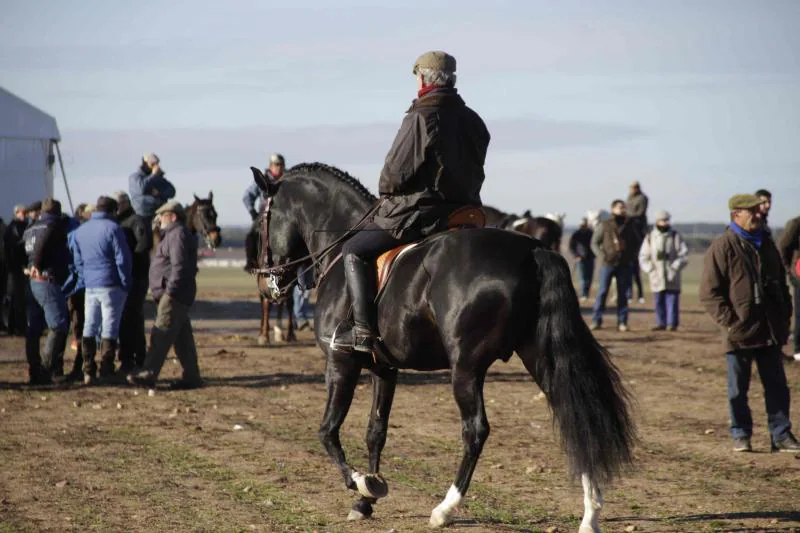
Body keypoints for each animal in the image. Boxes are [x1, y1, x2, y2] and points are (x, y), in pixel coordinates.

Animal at [253, 164, 636, 528]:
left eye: (260, 222)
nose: (265, 284)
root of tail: (533, 249)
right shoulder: (383, 367)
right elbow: (376, 431)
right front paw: (366, 500)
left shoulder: (340, 362)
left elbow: (327, 431)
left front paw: (362, 482)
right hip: (541, 357)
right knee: (576, 417)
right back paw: (590, 513)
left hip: (466, 367)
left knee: (476, 430)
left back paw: (445, 509)